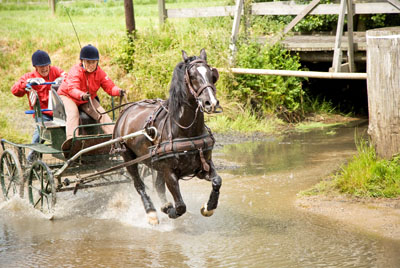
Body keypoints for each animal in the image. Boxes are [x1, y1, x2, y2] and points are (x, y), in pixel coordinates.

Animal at [113, 48, 222, 224]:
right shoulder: (169, 172)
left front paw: (208, 207)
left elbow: (217, 181)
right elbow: (180, 206)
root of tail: (126, 110)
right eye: (192, 76)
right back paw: (151, 212)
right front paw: (168, 209)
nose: (210, 103)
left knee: (157, 186)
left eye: (211, 74)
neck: (184, 131)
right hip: (128, 158)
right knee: (139, 185)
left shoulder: (203, 165)